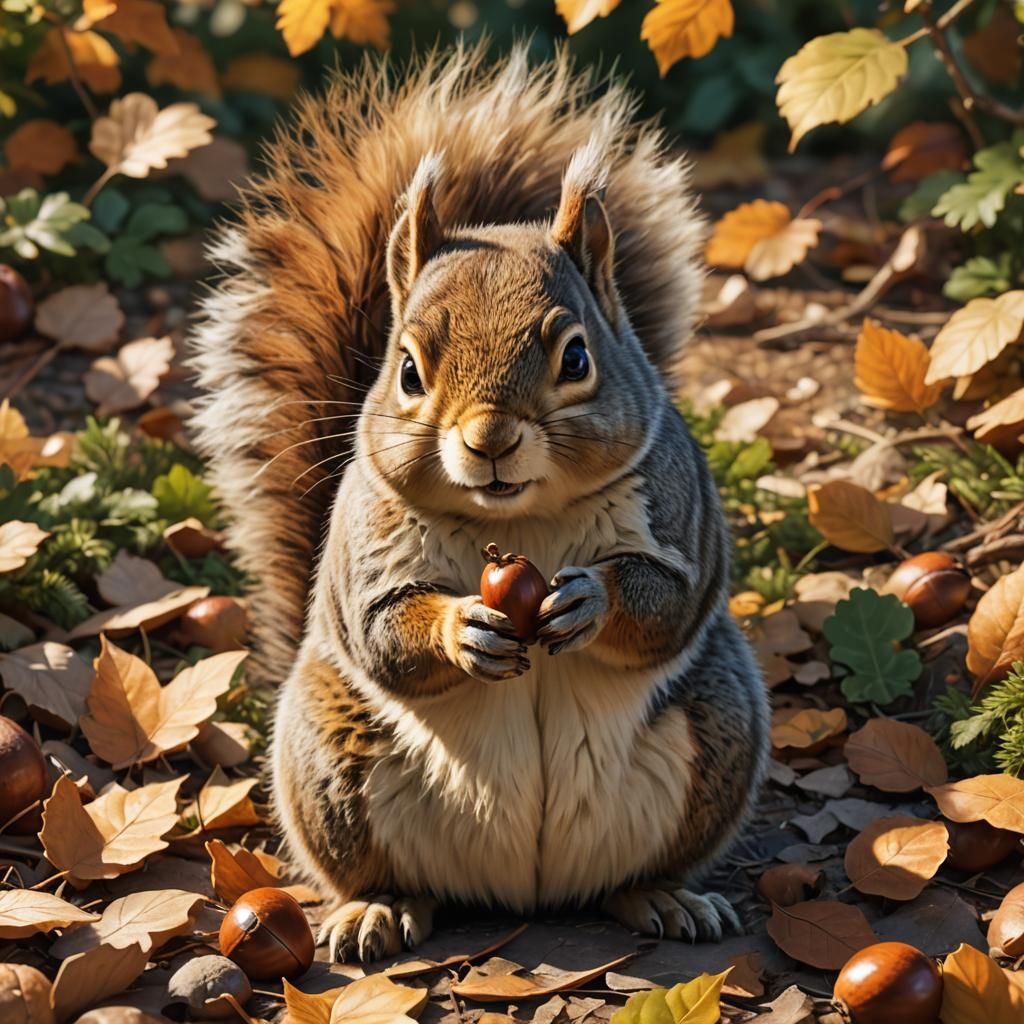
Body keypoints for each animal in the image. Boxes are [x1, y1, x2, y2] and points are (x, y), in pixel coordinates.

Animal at [190, 42, 769, 963]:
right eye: (407, 369)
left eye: (577, 358)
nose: (489, 438)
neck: (517, 521)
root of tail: (526, 892)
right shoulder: (365, 546)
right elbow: (384, 626)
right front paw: (463, 628)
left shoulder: (680, 514)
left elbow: (669, 601)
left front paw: (590, 599)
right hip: (330, 766)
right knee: (383, 874)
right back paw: (378, 909)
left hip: (718, 729)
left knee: (642, 868)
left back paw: (665, 897)